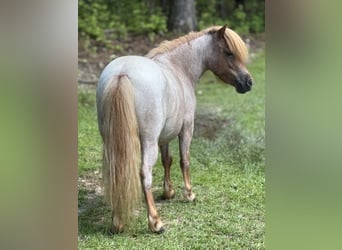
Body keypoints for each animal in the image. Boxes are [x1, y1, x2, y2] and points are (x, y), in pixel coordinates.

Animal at [96, 24, 254, 233]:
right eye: (229, 53)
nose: (248, 82)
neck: (179, 68)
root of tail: (121, 74)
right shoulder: (186, 128)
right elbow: (184, 160)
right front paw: (189, 194)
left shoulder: (164, 135)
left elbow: (167, 160)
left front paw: (168, 191)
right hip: (148, 142)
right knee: (145, 174)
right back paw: (155, 222)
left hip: (113, 142)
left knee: (116, 173)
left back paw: (117, 222)